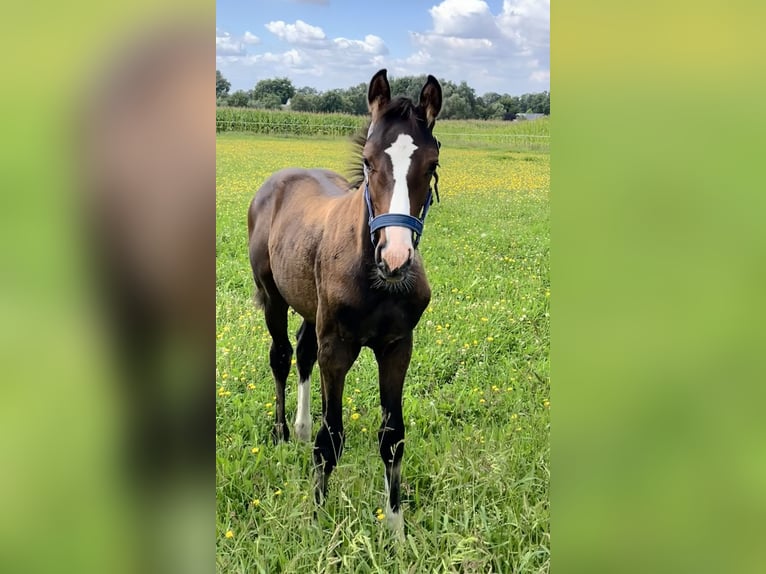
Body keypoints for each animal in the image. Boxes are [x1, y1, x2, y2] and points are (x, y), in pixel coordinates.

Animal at [246, 68, 444, 536]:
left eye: (432, 165)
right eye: (369, 161)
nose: (395, 258)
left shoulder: (397, 347)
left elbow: (393, 437)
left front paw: (396, 529)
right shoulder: (337, 348)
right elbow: (331, 437)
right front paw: (318, 522)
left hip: (308, 304)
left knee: (302, 351)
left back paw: (299, 428)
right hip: (274, 297)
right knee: (281, 355)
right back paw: (283, 432)